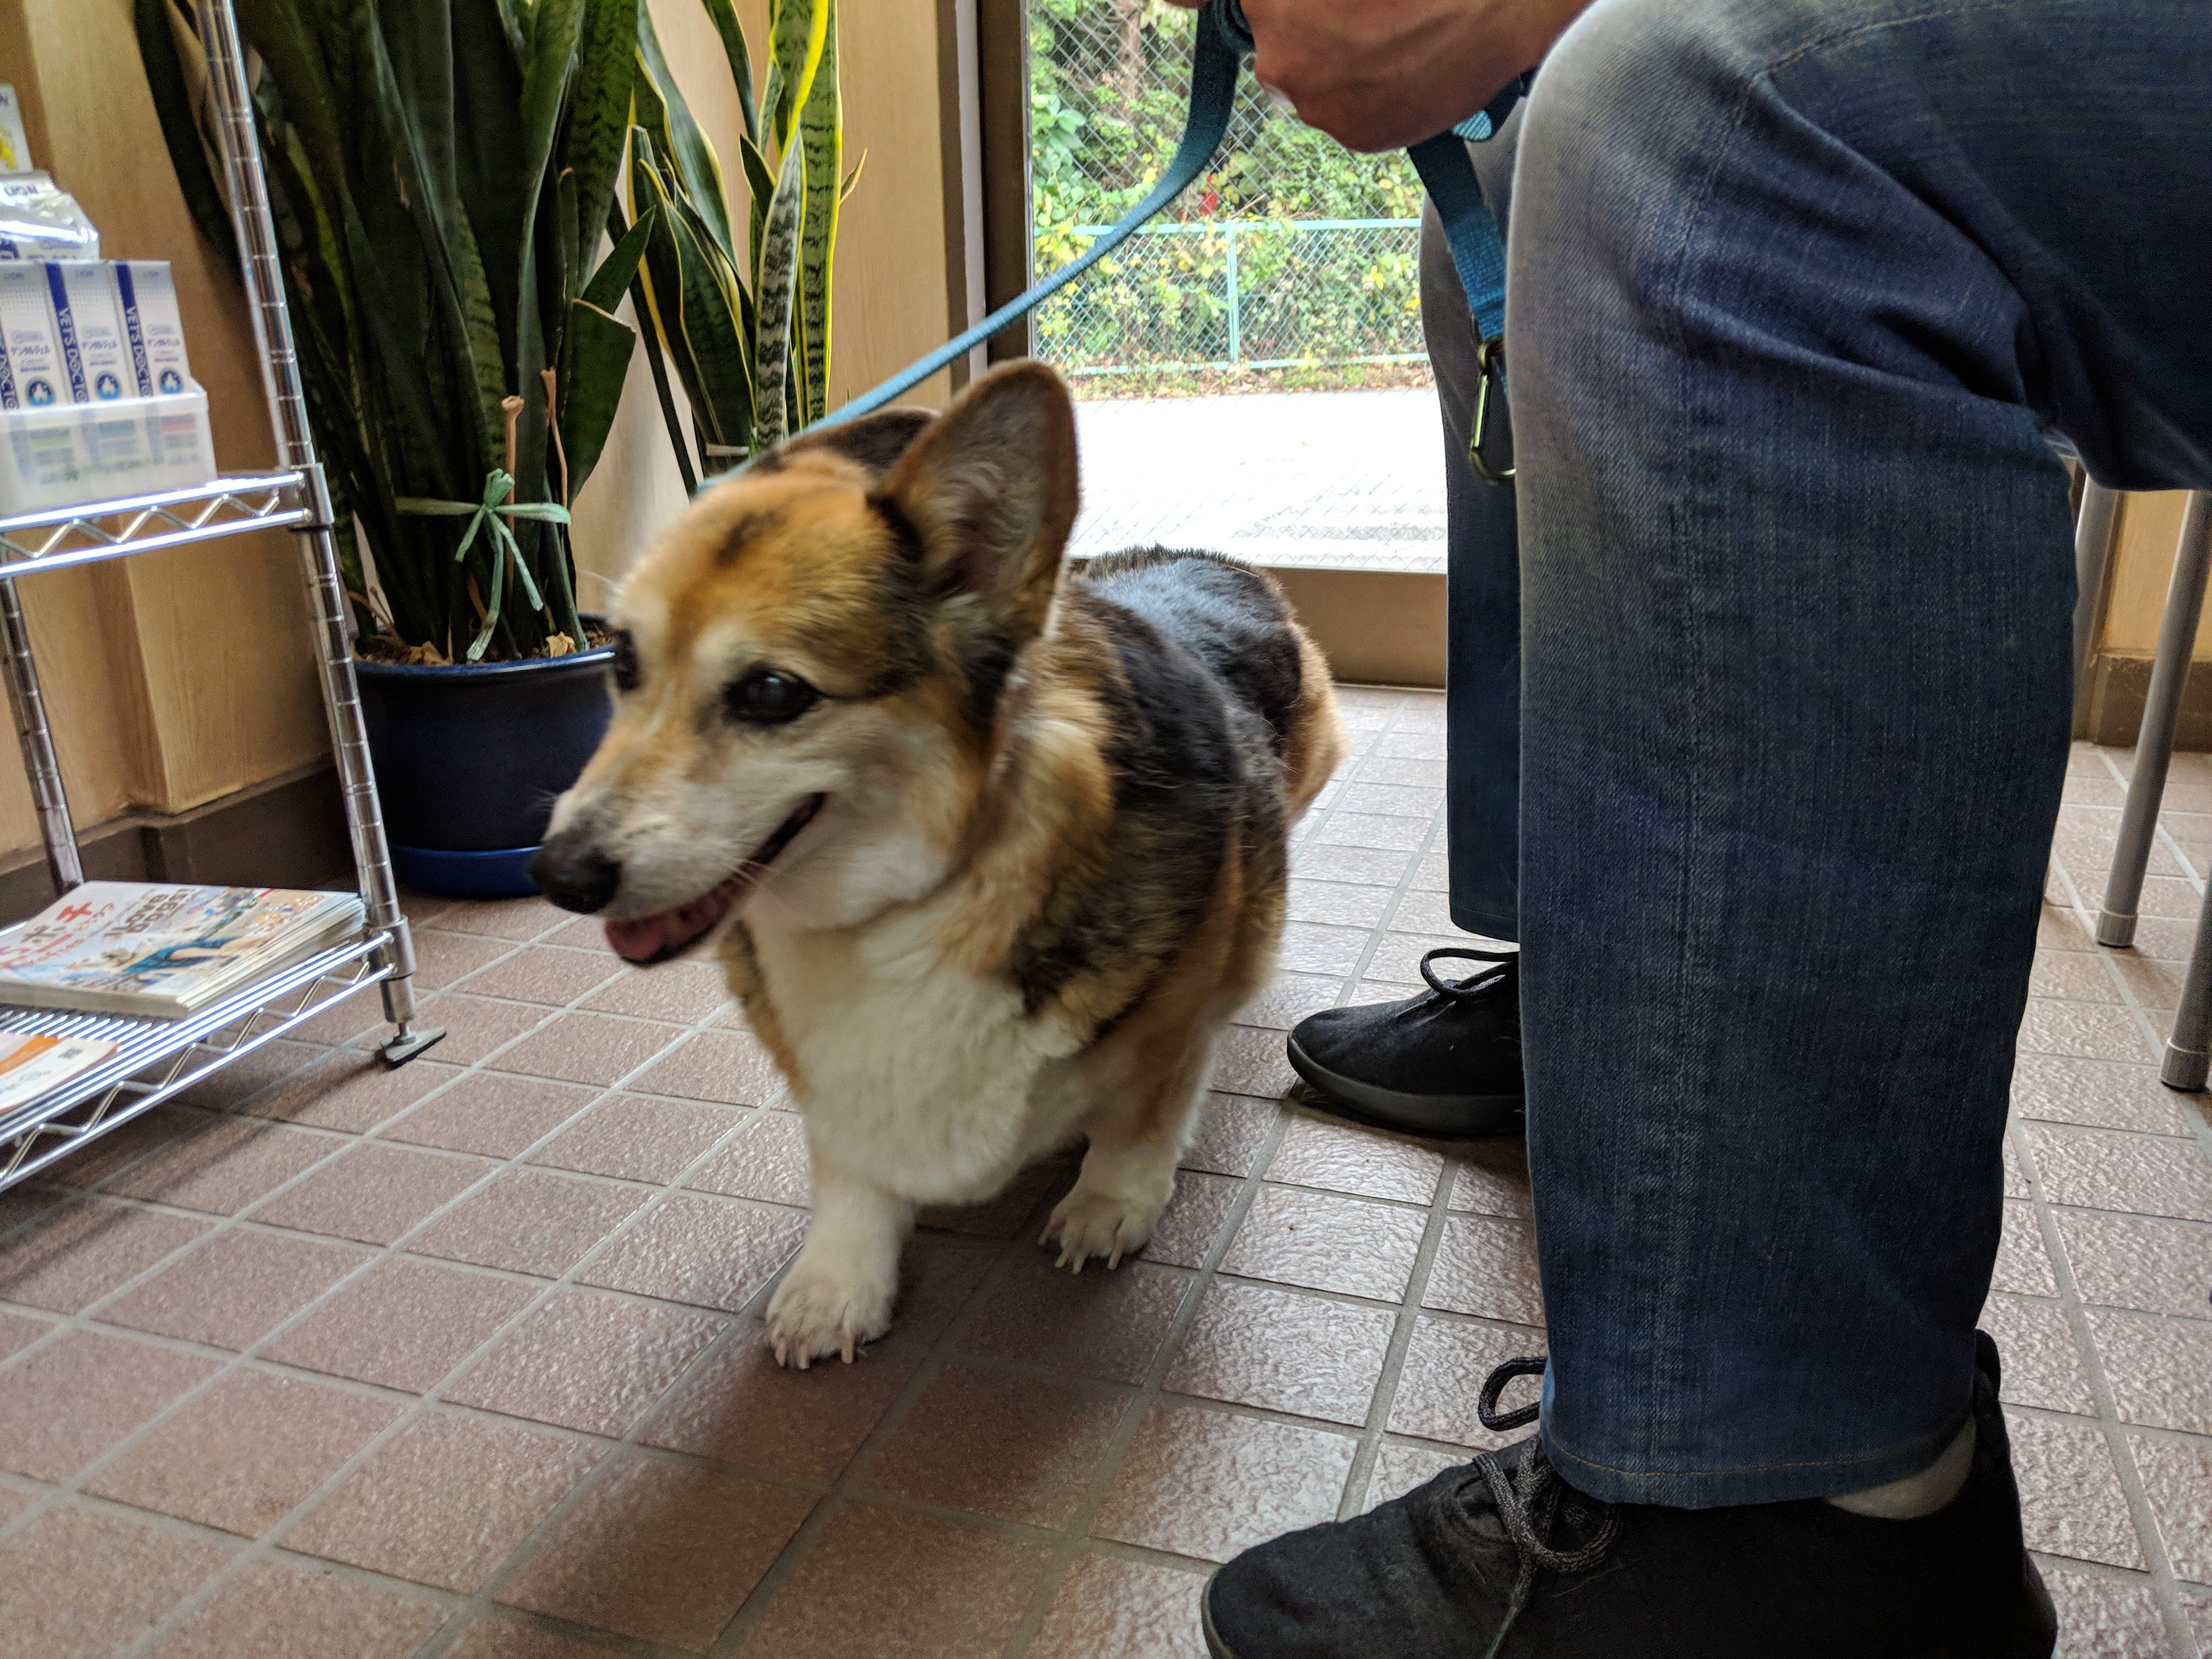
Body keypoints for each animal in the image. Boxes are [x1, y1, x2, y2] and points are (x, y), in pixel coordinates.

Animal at [526, 369, 1336, 1371]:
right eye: (622, 660)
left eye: (772, 692)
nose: (557, 875)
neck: (903, 907)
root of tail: (1210, 555)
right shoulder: (832, 1087)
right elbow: (848, 1168)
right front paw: (839, 1282)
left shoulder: (1171, 1022)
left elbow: (1141, 1116)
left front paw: (1109, 1203)